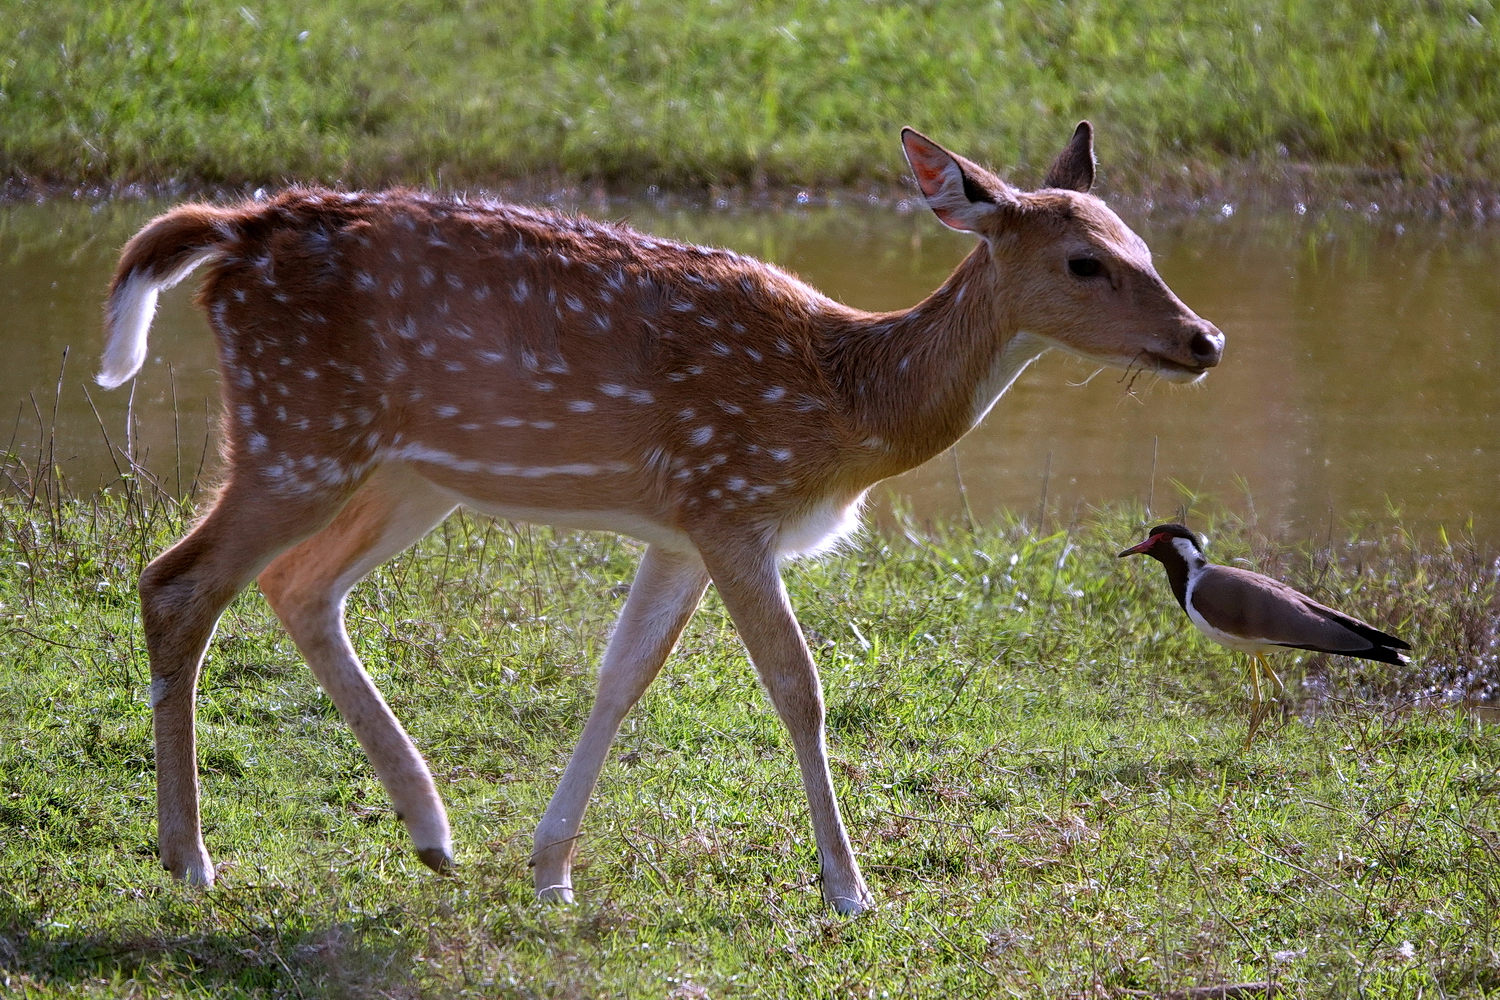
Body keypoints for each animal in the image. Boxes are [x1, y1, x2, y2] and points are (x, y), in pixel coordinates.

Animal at [96, 121, 1218, 911]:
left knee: (297, 585)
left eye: (1146, 244)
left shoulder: (680, 529)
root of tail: (231, 234)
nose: (1204, 337)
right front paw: (848, 887)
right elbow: (799, 687)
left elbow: (621, 677)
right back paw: (191, 858)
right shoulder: (731, 501)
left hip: (403, 472)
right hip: (299, 427)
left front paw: (549, 869)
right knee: (179, 579)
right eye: (1083, 261)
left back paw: (431, 832)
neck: (848, 403)